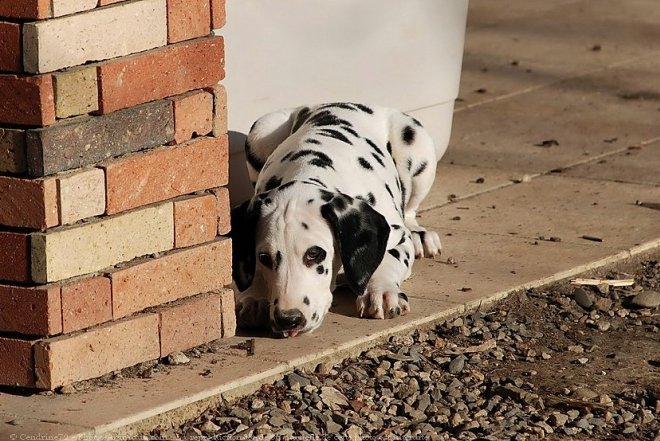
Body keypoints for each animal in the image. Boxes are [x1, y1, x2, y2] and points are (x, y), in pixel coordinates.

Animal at [232, 103, 444, 336]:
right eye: (264, 257)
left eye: (314, 254)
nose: (288, 319)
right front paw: (254, 297)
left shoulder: (398, 237)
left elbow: (389, 259)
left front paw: (381, 290)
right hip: (260, 131)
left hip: (416, 146)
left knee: (411, 210)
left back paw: (419, 235)